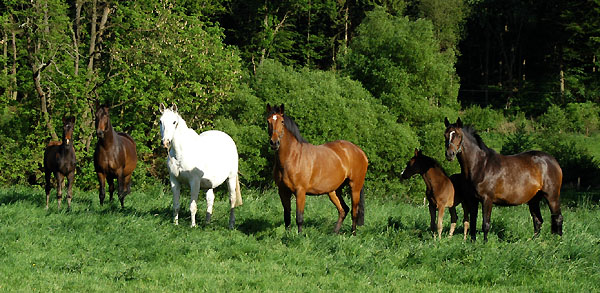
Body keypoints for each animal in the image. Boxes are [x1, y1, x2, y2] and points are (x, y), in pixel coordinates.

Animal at [266, 104, 368, 234]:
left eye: (282, 121)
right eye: (268, 121)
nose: (274, 143)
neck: (292, 157)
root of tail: (359, 151)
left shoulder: (300, 191)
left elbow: (299, 217)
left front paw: (299, 236)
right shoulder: (283, 191)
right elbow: (287, 217)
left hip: (355, 187)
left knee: (354, 212)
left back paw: (353, 234)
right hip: (334, 191)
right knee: (343, 209)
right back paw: (334, 233)